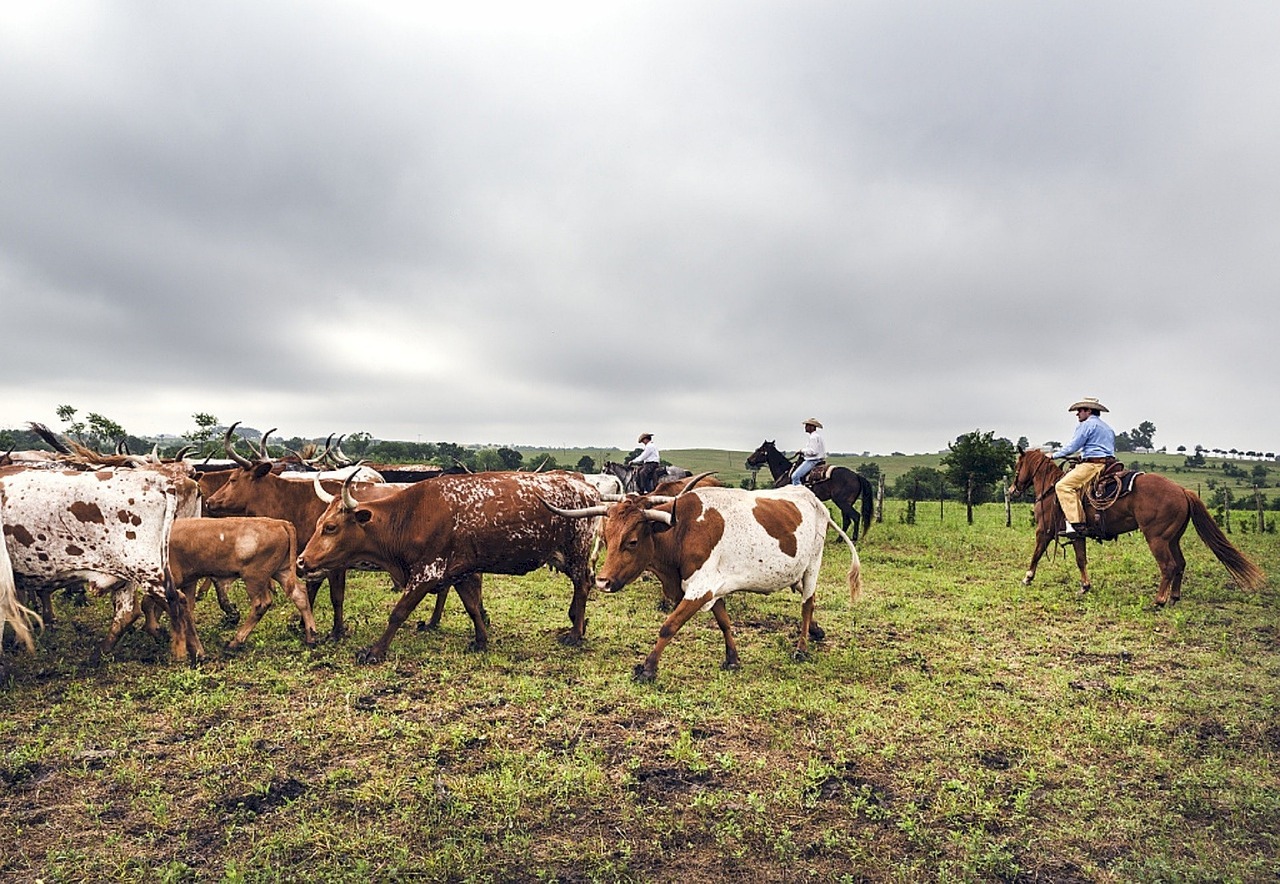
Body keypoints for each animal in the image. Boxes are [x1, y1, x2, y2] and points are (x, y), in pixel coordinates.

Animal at [296, 470, 601, 665]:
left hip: (577, 552)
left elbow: (398, 613)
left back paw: (576, 633)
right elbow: (473, 607)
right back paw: (576, 621)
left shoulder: (426, 573)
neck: (410, 516)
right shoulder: (460, 572)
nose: (301, 561)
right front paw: (481, 640)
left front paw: (375, 652)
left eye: (330, 527)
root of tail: (588, 488)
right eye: (318, 523)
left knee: (583, 584)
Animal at [747, 440, 875, 542]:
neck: (785, 471)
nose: (748, 460)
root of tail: (856, 475)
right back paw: (840, 539)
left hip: (842, 502)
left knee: (855, 516)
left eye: (759, 450)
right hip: (846, 503)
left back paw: (853, 539)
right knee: (847, 520)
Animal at [1008, 450, 1269, 608]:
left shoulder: (1044, 531)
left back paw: (1159, 601)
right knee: (1180, 564)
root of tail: (1182, 490)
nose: (1012, 490)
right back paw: (1174, 597)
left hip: (1157, 538)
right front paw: (1085, 587)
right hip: (1172, 539)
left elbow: (1036, 554)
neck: (1051, 488)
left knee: (1169, 566)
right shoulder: (1076, 535)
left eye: (1017, 466)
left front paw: (1027, 578)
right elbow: (1081, 560)